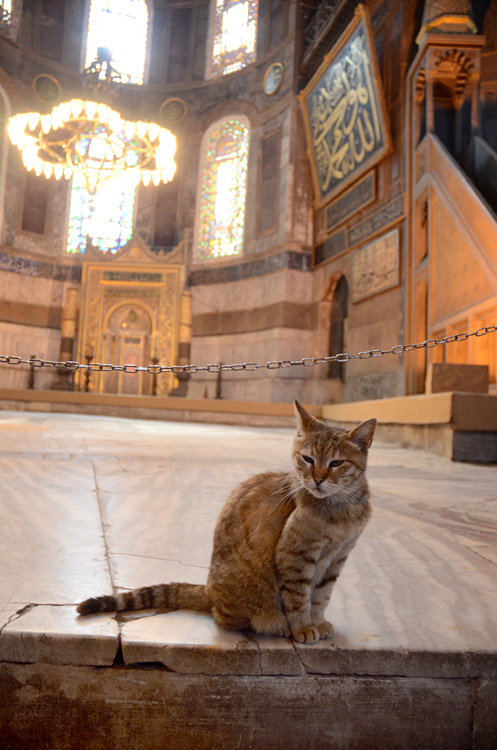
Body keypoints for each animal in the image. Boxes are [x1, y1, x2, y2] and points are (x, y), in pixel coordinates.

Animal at [76, 402, 376, 644]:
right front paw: (303, 627)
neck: (340, 511)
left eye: (336, 463)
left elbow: (322, 595)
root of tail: (209, 590)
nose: (317, 479)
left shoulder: (338, 557)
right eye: (307, 458)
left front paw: (319, 621)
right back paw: (275, 626)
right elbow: (299, 597)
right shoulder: (296, 557)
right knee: (223, 617)